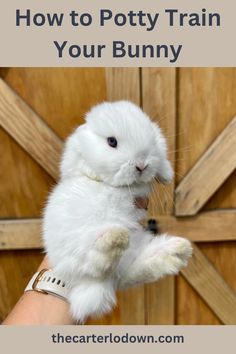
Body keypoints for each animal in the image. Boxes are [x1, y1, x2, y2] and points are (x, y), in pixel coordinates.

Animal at [43, 101, 193, 322]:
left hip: (137, 246)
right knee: (94, 264)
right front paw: (94, 175)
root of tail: (94, 289)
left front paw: (165, 175)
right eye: (111, 142)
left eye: (150, 134)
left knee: (131, 271)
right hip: (77, 245)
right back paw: (113, 240)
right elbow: (78, 166)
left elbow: (162, 158)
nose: (142, 165)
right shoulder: (73, 158)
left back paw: (175, 251)